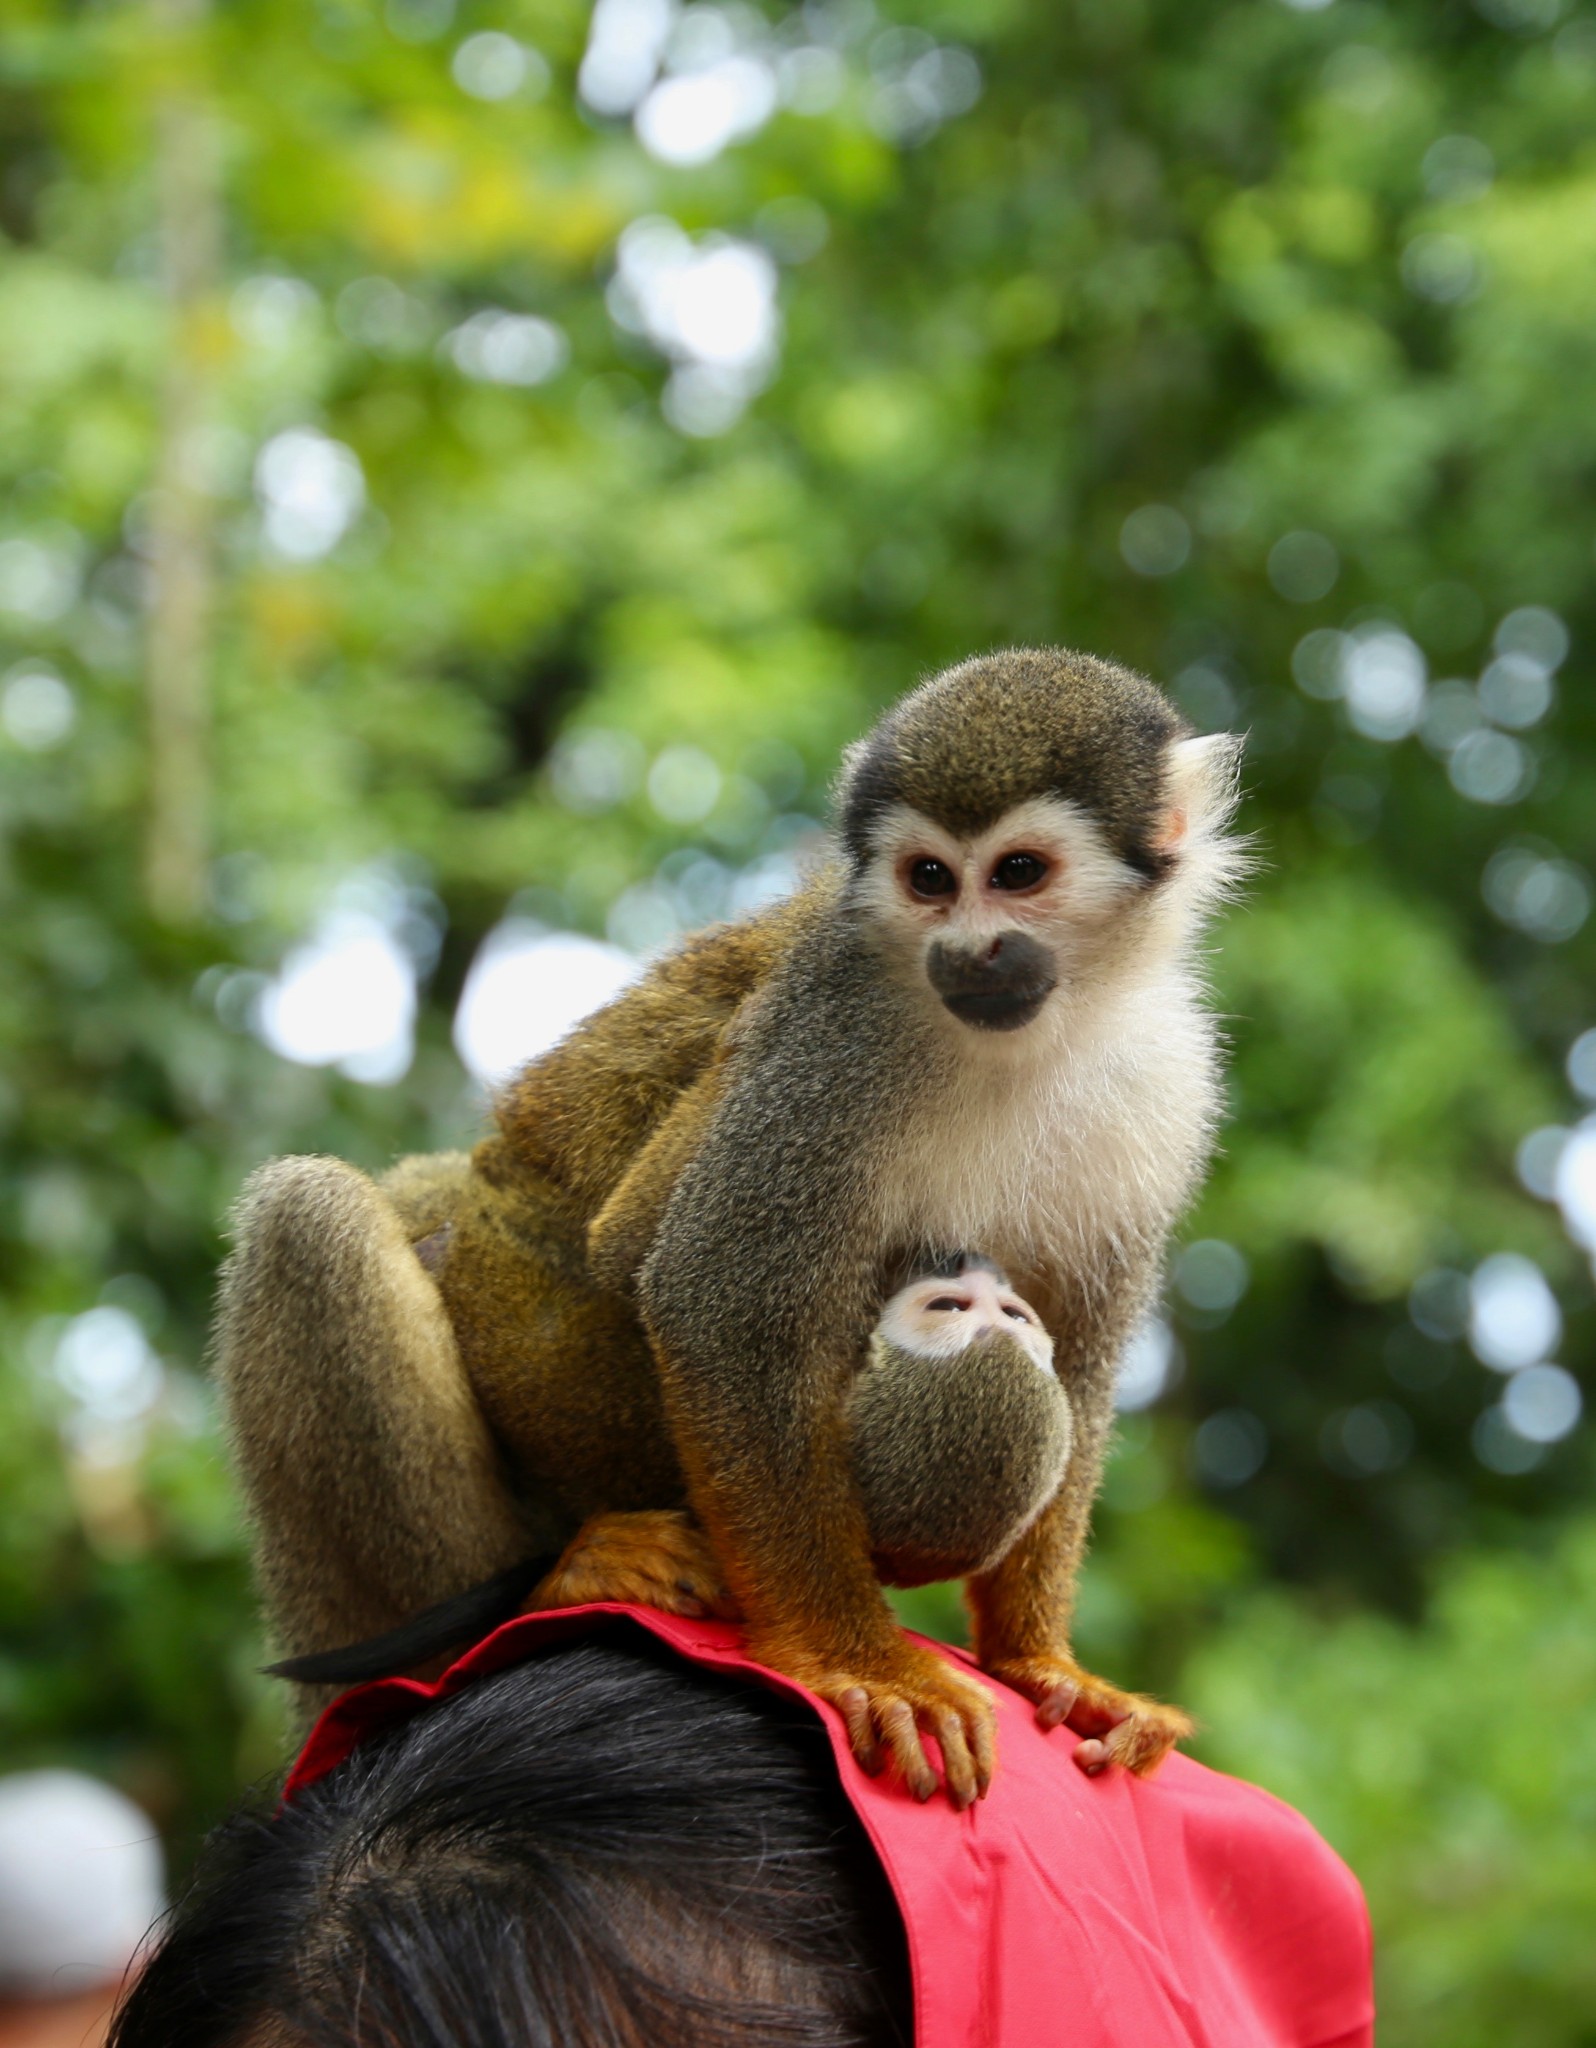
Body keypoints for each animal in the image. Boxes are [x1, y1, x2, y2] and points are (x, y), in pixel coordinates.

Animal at [218, 647, 1245, 1802]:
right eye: (931, 879)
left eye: (1019, 872)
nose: (971, 950)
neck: (1041, 1027)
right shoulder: (833, 1024)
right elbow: (708, 1295)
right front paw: (860, 1657)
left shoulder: (1167, 1078)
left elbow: (1078, 1352)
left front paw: (1039, 1660)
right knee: (314, 1216)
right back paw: (529, 1591)